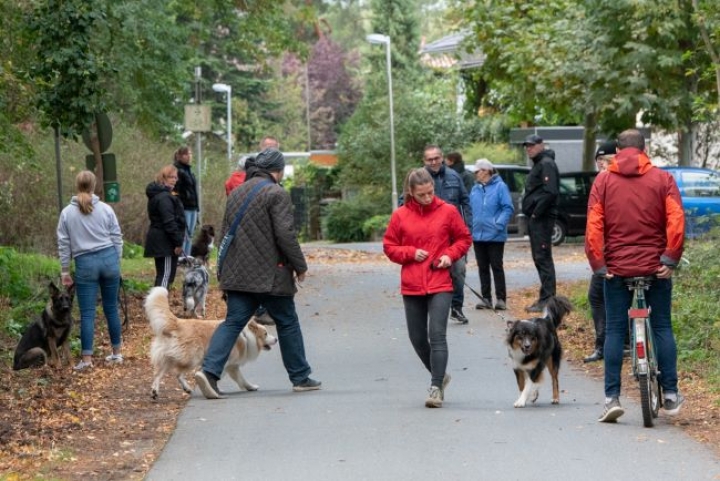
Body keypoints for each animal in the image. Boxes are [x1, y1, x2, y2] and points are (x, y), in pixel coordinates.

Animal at [143, 284, 276, 398]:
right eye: (265, 333)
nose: (276, 339)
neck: (247, 336)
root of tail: (178, 322)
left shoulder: (233, 367)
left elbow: (241, 380)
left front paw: (250, 387)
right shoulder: (226, 364)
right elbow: (218, 376)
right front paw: (214, 388)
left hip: (168, 356)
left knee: (158, 373)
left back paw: (155, 391)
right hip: (192, 358)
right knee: (177, 373)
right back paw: (186, 388)